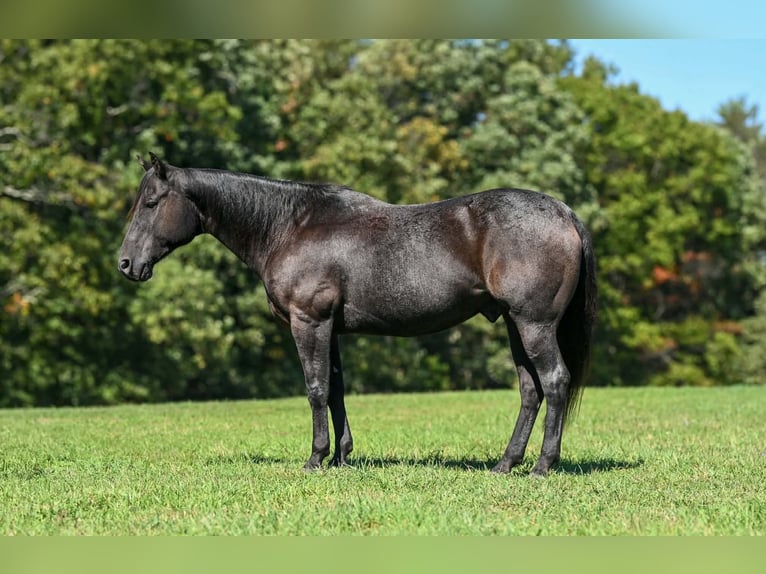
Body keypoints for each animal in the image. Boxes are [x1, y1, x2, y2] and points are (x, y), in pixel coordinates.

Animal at [118, 153, 597, 476]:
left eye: (151, 203)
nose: (125, 264)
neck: (289, 226)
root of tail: (564, 213)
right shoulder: (329, 329)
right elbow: (336, 390)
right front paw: (341, 456)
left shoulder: (308, 322)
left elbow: (315, 389)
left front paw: (315, 458)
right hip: (516, 325)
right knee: (530, 390)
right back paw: (506, 463)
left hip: (534, 324)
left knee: (555, 381)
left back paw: (542, 465)